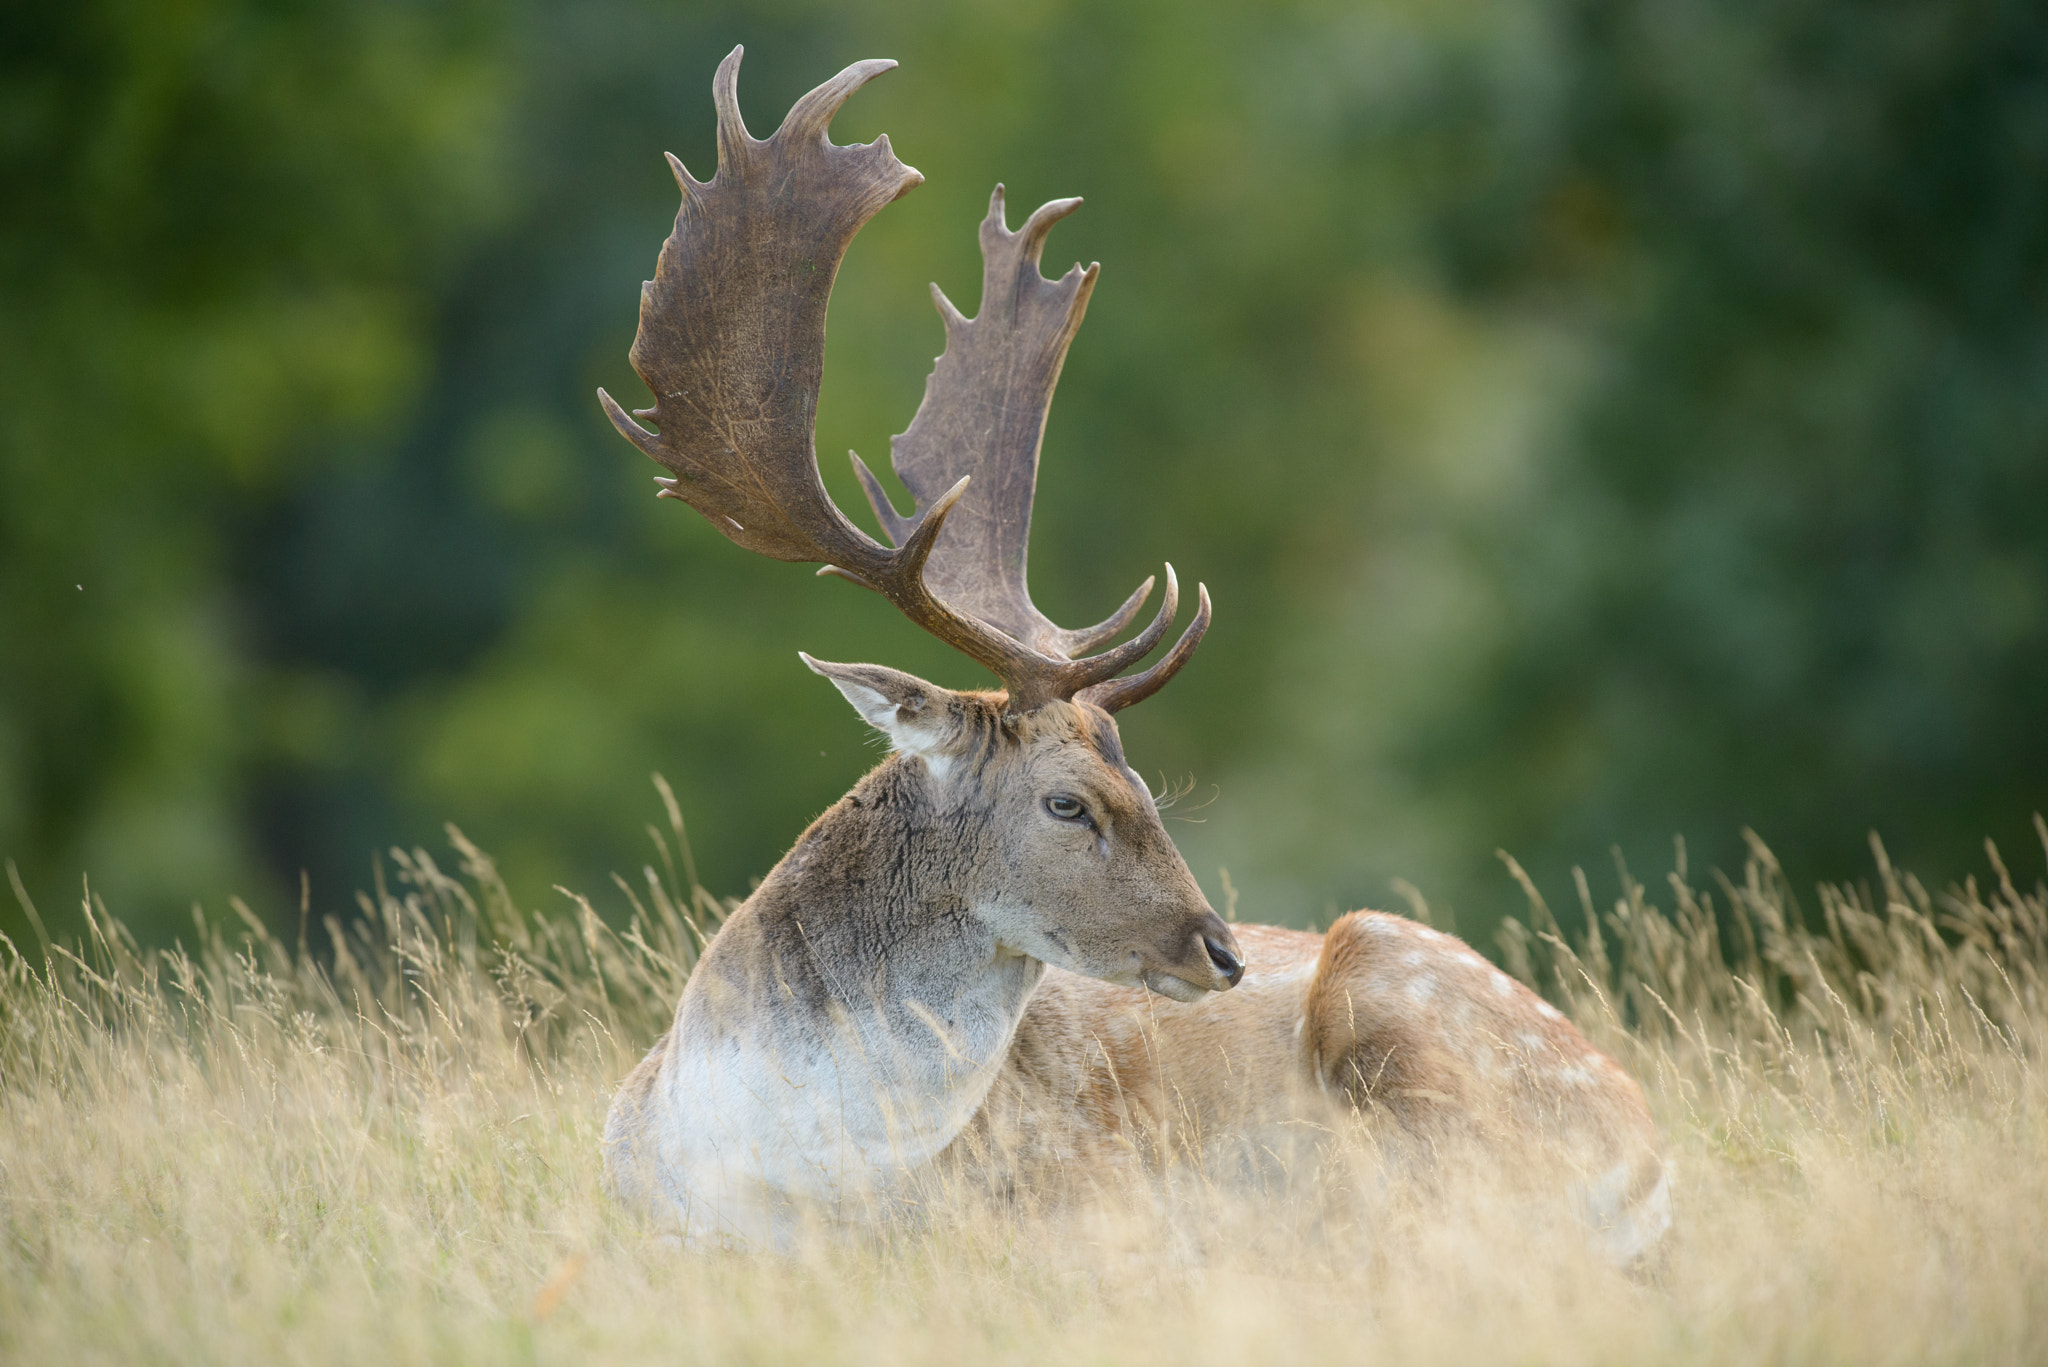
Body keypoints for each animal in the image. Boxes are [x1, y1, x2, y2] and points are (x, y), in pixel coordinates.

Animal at [597, 48, 1671, 1261]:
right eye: (1070, 802)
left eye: (1147, 784)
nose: (1222, 952)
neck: (777, 1179)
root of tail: (1652, 1157)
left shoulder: (1093, 1193)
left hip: (1397, 987)